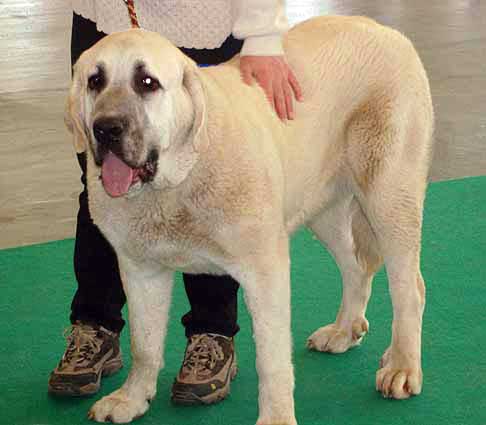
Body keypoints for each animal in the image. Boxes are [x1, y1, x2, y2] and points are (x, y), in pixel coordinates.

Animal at [65, 14, 432, 424]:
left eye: (147, 82)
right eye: (95, 81)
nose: (106, 128)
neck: (177, 180)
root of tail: (384, 30)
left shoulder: (265, 271)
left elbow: (271, 361)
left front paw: (276, 417)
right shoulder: (141, 269)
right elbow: (143, 345)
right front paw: (131, 398)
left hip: (389, 196)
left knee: (409, 288)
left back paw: (402, 366)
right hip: (321, 205)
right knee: (356, 267)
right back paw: (343, 330)